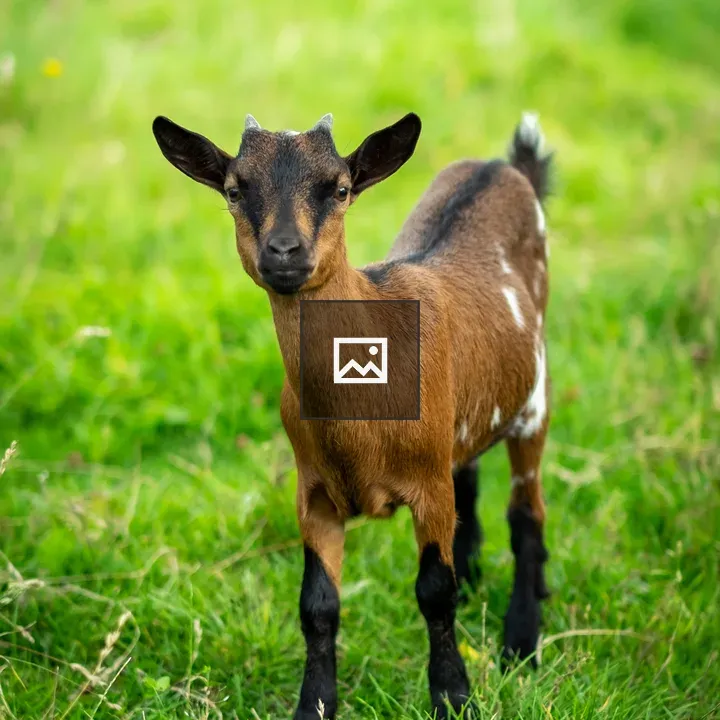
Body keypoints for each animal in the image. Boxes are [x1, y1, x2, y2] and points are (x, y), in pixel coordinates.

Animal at [153, 109, 552, 719]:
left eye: (340, 189)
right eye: (234, 189)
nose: (284, 251)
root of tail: (503, 167)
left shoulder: (428, 487)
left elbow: (434, 592)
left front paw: (453, 696)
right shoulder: (314, 492)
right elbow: (317, 604)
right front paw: (314, 705)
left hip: (534, 402)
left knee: (526, 513)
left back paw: (521, 640)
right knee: (471, 470)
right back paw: (478, 574)